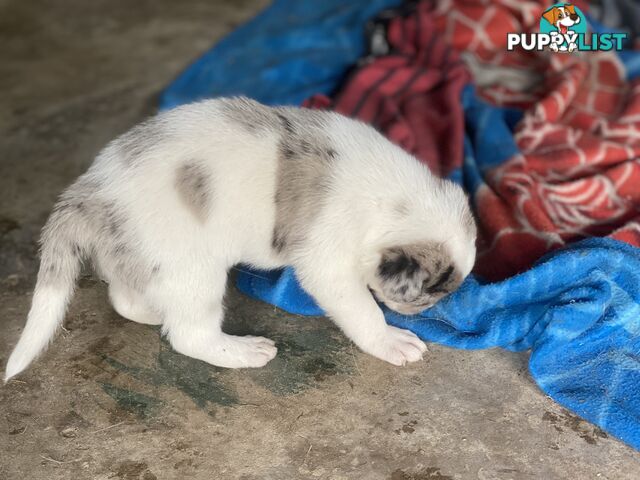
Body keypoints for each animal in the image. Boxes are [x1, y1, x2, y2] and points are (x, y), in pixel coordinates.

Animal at [3, 98, 476, 382]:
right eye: (430, 292)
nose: (423, 311)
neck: (396, 200)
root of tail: (88, 196)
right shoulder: (328, 265)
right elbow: (362, 311)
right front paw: (391, 340)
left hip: (144, 258)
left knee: (125, 297)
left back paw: (154, 312)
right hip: (194, 270)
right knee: (190, 335)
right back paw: (242, 351)